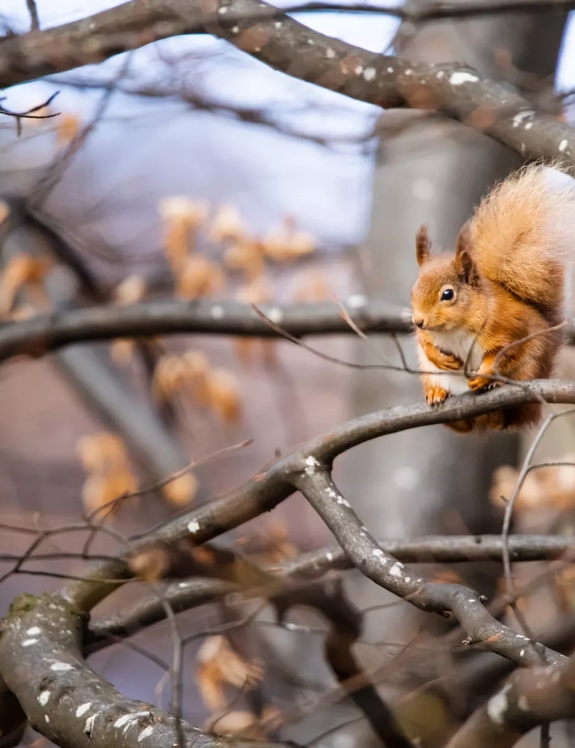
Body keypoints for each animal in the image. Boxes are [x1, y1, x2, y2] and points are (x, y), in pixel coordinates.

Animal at [410, 163, 575, 433]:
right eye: (412, 290)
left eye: (447, 294)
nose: (418, 321)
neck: (455, 327)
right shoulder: (427, 333)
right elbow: (425, 341)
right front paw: (438, 355)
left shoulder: (508, 327)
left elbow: (506, 352)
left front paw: (484, 375)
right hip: (430, 374)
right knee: (460, 424)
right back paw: (436, 393)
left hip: (527, 372)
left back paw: (496, 402)